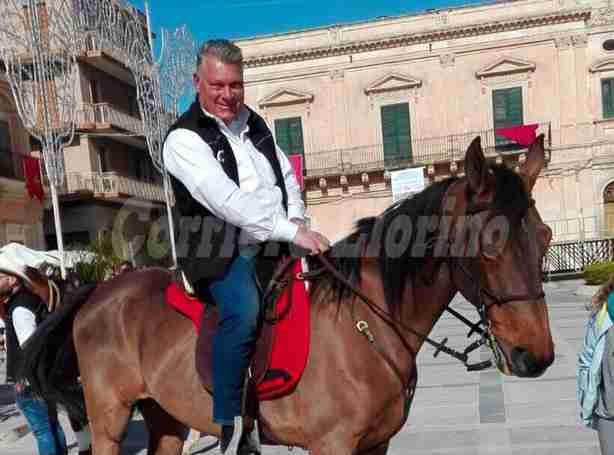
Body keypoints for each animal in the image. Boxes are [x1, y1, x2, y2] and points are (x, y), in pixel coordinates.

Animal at [21, 135, 556, 455]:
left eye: (546, 237)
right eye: (488, 246)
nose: (536, 357)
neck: (364, 325)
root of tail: (98, 292)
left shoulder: (375, 445)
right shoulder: (333, 446)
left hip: (166, 417)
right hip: (109, 419)